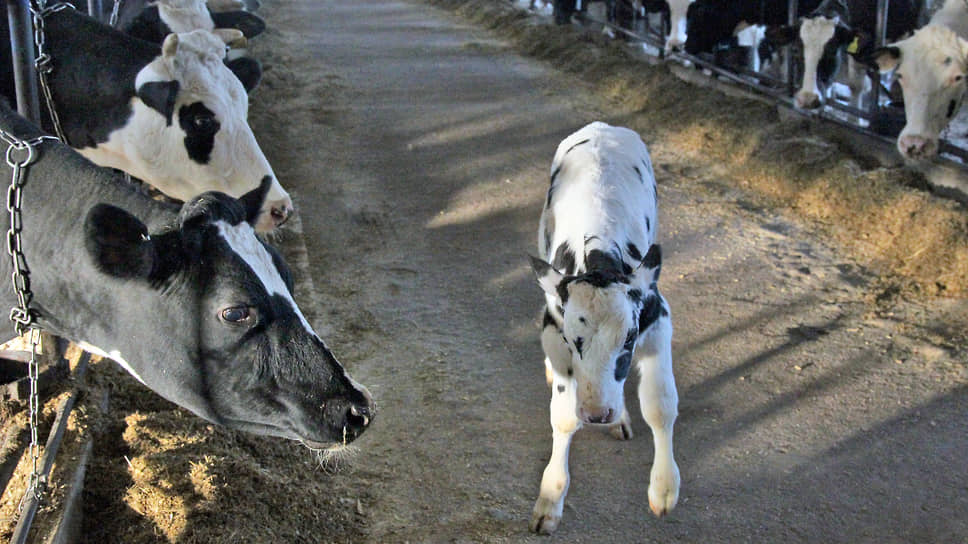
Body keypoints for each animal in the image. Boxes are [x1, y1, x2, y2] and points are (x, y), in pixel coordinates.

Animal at [528, 121, 680, 532]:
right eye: (572, 340)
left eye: (628, 340)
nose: (597, 415)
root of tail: (602, 127)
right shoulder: (553, 327)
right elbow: (564, 417)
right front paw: (551, 497)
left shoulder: (657, 320)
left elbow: (660, 405)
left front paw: (664, 487)